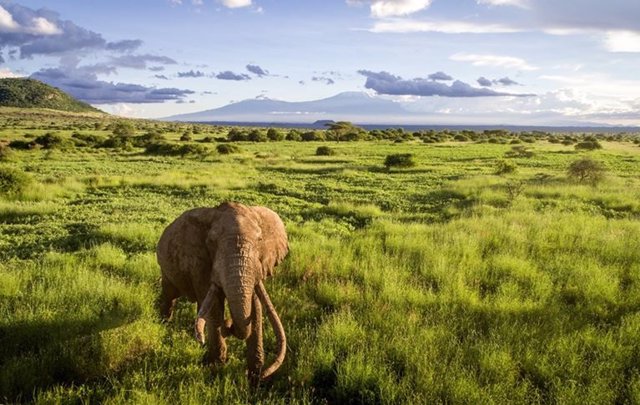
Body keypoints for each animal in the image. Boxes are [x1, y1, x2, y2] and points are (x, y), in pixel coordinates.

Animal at [158, 200, 290, 384]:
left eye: (259, 240)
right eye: (211, 242)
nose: (228, 324)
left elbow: (255, 306)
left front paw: (255, 377)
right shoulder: (200, 263)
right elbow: (215, 307)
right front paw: (216, 367)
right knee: (169, 295)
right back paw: (164, 324)